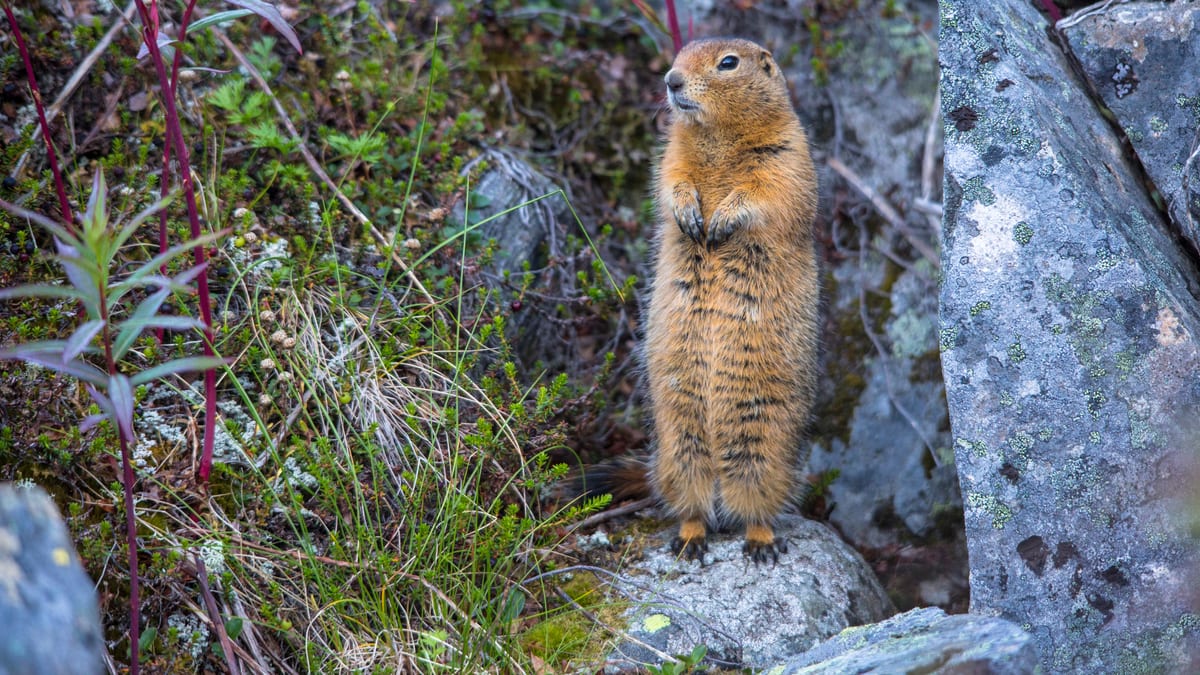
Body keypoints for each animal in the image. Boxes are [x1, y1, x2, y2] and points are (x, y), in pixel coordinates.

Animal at [575, 38, 820, 565]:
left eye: (728, 63)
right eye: (681, 51)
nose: (671, 80)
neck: (716, 135)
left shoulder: (788, 154)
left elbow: (768, 192)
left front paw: (724, 219)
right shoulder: (672, 153)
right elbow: (671, 180)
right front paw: (689, 214)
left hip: (764, 450)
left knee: (758, 504)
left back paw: (759, 541)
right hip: (677, 447)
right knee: (692, 501)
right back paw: (690, 538)